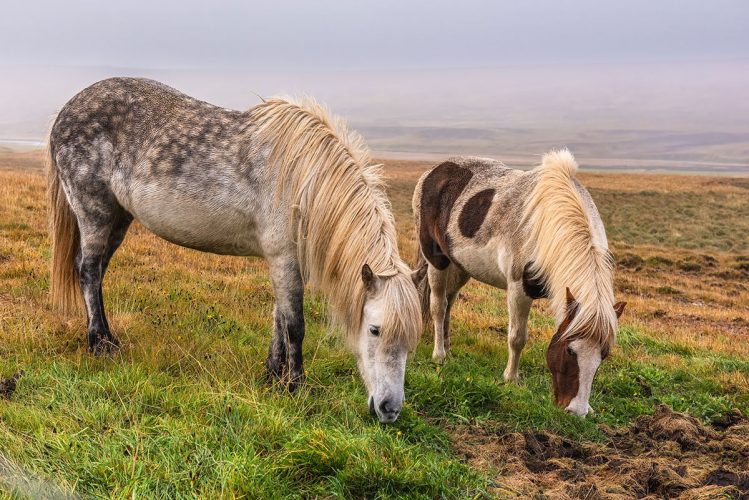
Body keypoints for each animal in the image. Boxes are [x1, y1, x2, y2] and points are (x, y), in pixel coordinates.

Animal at [47, 77, 422, 423]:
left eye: (412, 339)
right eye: (374, 329)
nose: (389, 410)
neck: (302, 180)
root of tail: (66, 111)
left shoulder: (284, 262)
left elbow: (279, 317)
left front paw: (273, 375)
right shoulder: (283, 258)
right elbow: (294, 324)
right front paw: (295, 386)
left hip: (119, 219)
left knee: (96, 272)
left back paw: (104, 336)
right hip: (95, 214)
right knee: (88, 270)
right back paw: (100, 344)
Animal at [412, 150, 626, 416]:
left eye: (603, 354)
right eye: (569, 349)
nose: (578, 411)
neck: (548, 226)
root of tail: (433, 171)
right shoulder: (518, 289)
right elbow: (517, 337)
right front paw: (511, 379)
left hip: (460, 266)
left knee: (449, 304)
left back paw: (448, 350)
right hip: (437, 261)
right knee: (439, 307)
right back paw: (440, 355)